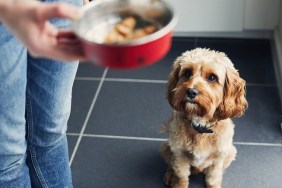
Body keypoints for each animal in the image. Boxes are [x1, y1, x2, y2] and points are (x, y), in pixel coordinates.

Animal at [160, 47, 248, 187]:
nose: (191, 91)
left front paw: (214, 185)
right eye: (187, 73)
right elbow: (181, 175)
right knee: (171, 163)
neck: (200, 126)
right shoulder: (179, 154)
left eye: (212, 77)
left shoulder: (219, 158)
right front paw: (178, 183)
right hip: (166, 147)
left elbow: (213, 177)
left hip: (230, 152)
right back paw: (170, 173)